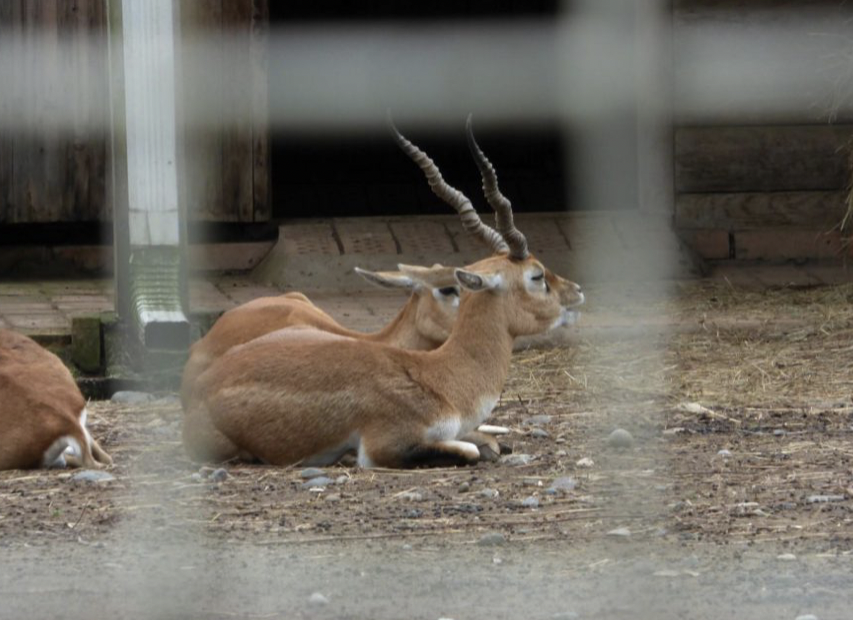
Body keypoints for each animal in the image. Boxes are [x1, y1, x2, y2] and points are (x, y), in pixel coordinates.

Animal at [186, 116, 584, 468]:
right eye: (536, 276)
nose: (577, 292)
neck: (444, 377)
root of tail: (199, 383)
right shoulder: (384, 446)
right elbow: (472, 451)